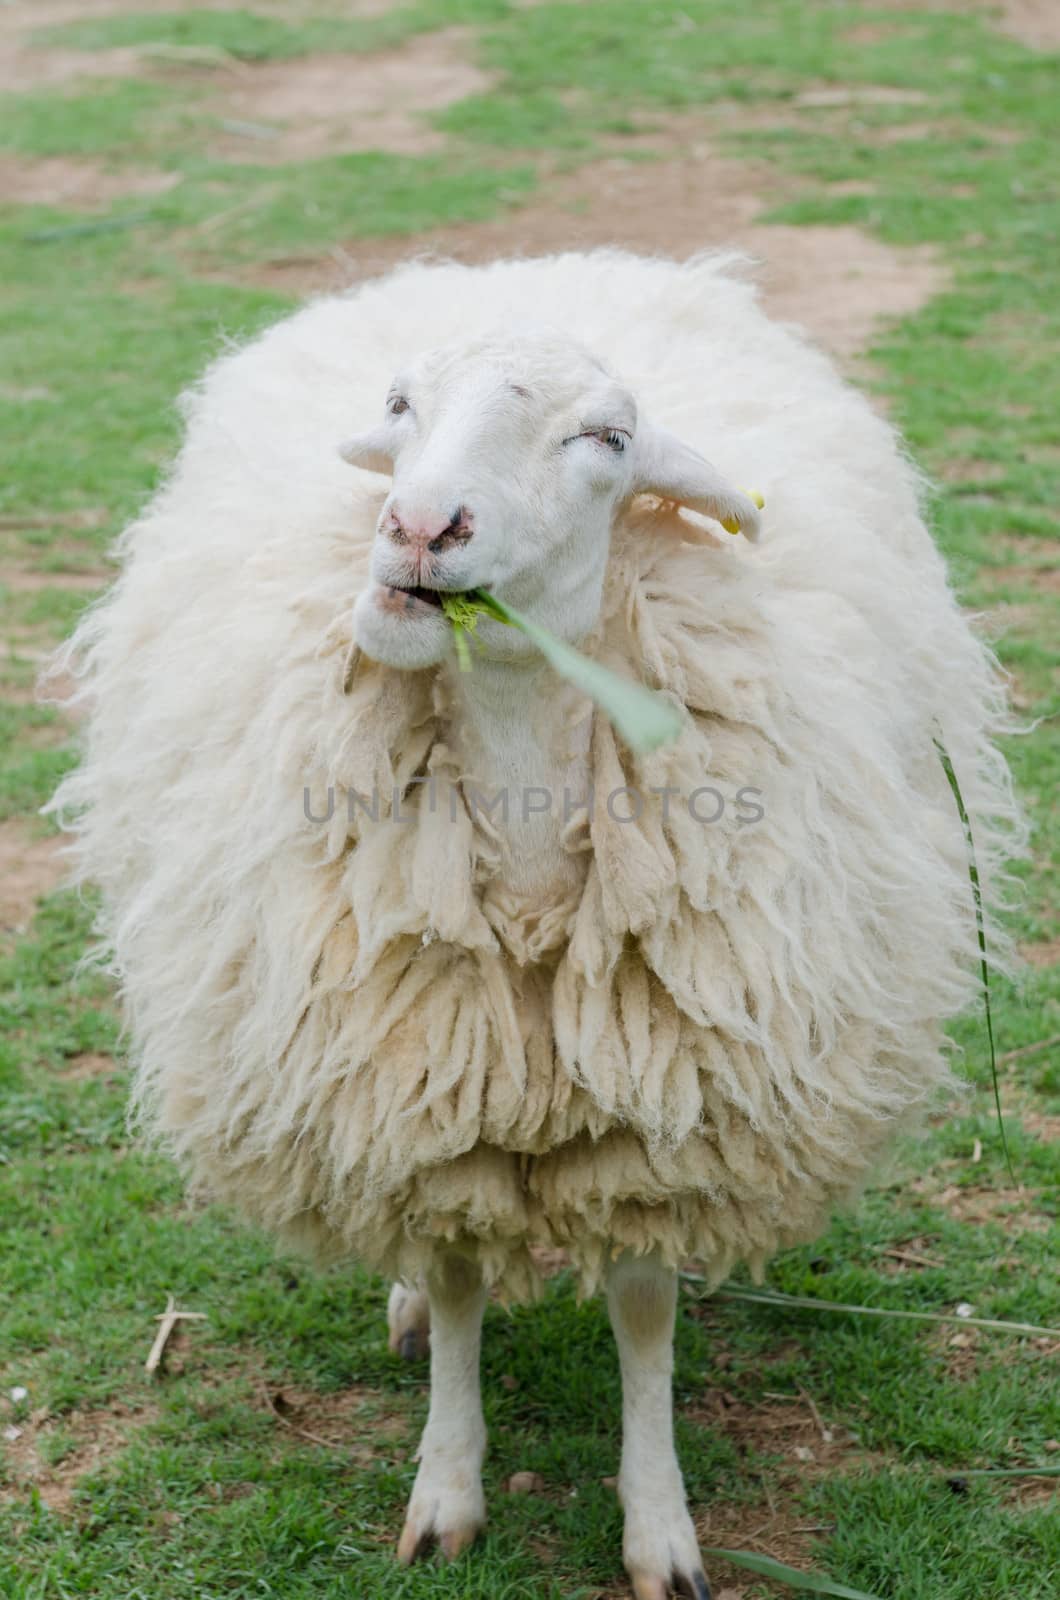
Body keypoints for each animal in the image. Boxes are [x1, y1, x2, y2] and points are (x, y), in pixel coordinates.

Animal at [54, 249, 1024, 1600]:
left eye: (606, 440)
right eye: (400, 403)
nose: (418, 529)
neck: (516, 855)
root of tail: (535, 264)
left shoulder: (660, 1101)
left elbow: (642, 1307)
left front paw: (660, 1527)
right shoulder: (432, 1083)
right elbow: (460, 1280)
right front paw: (445, 1490)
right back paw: (403, 1308)